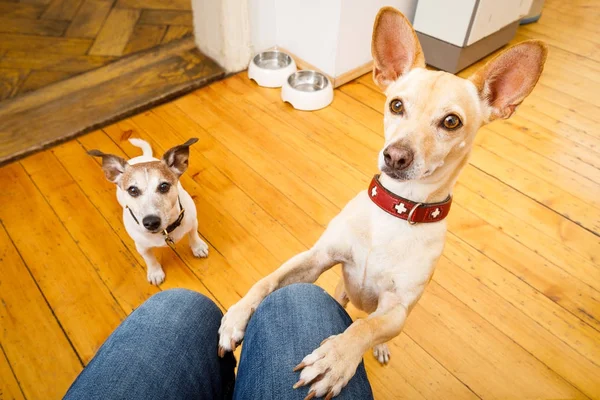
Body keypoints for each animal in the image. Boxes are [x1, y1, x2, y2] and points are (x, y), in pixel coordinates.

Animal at [218, 7, 548, 400]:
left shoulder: (397, 309)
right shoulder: (317, 258)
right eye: (396, 105)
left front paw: (335, 359)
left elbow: (364, 329)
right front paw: (238, 315)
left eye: (451, 121)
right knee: (341, 299)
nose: (395, 156)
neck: (398, 209)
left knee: (369, 325)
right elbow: (268, 281)